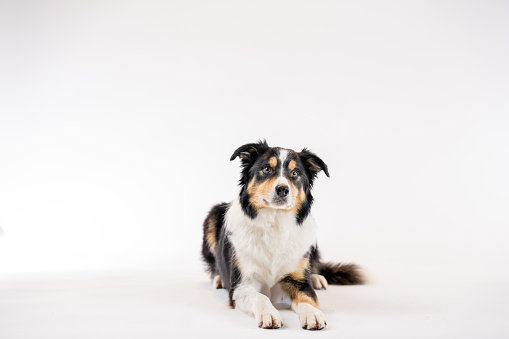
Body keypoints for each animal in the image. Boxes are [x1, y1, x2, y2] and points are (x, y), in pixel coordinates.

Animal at [200, 141, 364, 332]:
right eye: (266, 169)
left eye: (295, 173)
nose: (283, 189)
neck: (275, 222)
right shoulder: (240, 286)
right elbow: (260, 297)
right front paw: (268, 313)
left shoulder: (298, 282)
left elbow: (308, 298)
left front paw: (312, 314)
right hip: (213, 215)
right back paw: (219, 278)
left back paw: (316, 277)